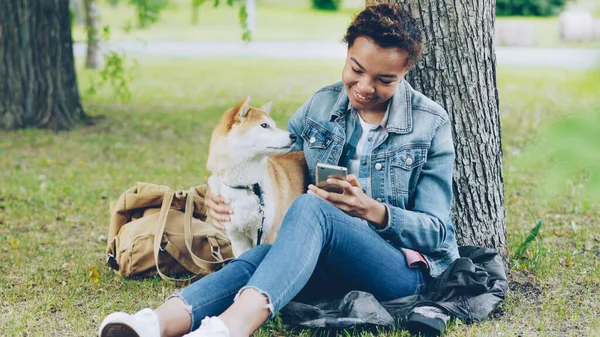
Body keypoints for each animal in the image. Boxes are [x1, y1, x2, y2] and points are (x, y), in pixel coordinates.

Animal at [207, 96, 310, 256]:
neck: (246, 186)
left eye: (273, 125)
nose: (293, 136)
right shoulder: (238, 239)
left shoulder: (267, 233)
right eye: (264, 125)